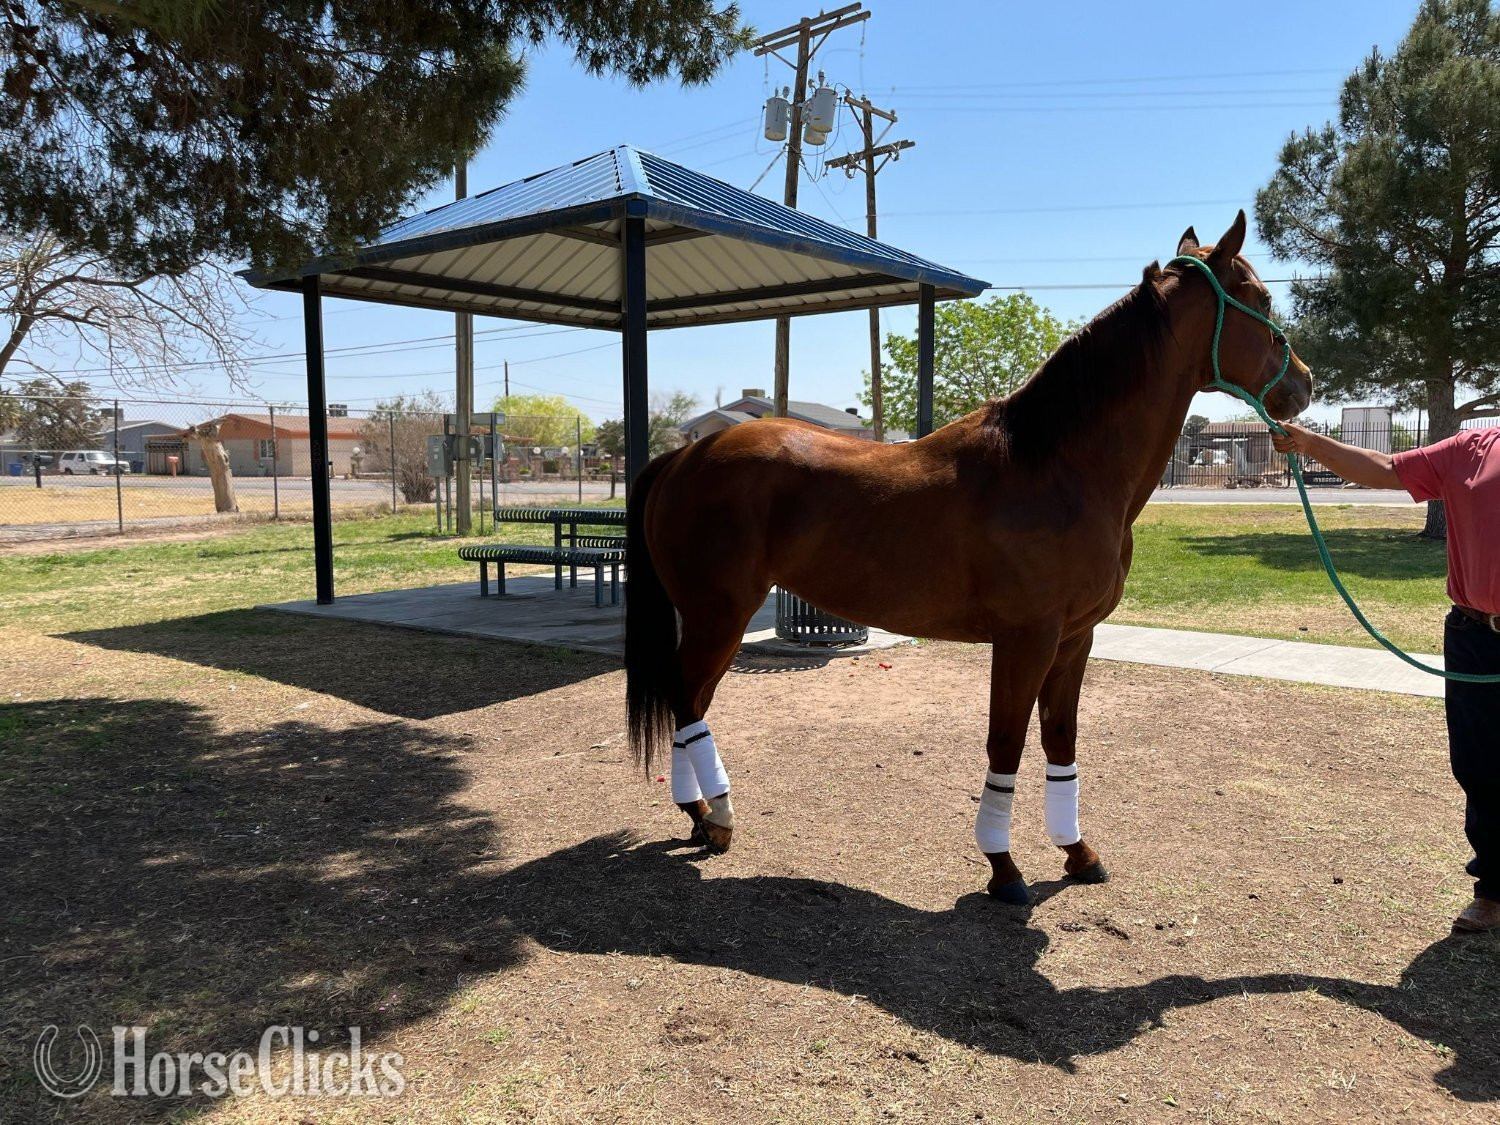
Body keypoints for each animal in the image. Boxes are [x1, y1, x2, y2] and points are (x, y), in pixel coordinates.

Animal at [624, 211, 1312, 904]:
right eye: (1261, 299)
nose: (1304, 384)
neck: (1057, 468)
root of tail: (684, 456)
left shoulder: (1075, 639)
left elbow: (1060, 740)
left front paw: (1077, 853)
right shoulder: (1025, 639)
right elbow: (1006, 744)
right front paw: (1004, 868)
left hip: (718, 620)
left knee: (690, 700)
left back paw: (699, 818)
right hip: (720, 616)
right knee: (688, 701)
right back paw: (718, 816)